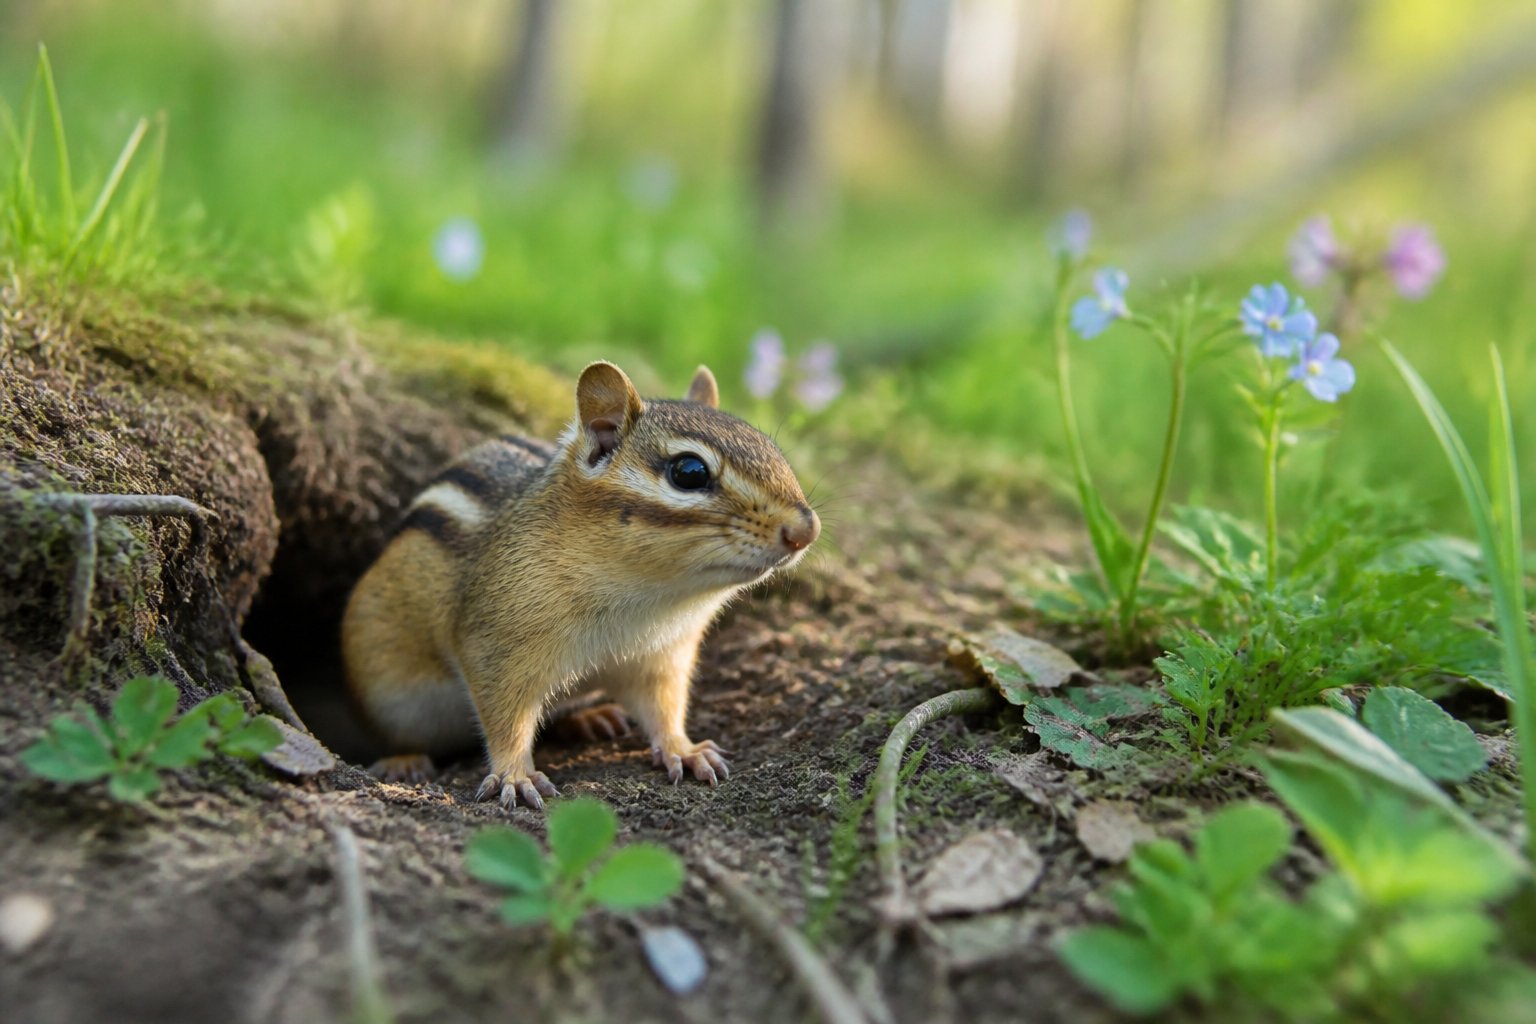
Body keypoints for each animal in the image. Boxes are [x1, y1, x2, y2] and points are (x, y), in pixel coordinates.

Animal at [341, 361, 820, 810]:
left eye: (772, 448)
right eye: (689, 471)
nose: (805, 530)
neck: (648, 596)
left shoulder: (662, 655)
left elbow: (664, 709)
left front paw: (684, 750)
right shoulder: (495, 645)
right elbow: (505, 719)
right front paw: (515, 775)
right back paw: (405, 761)